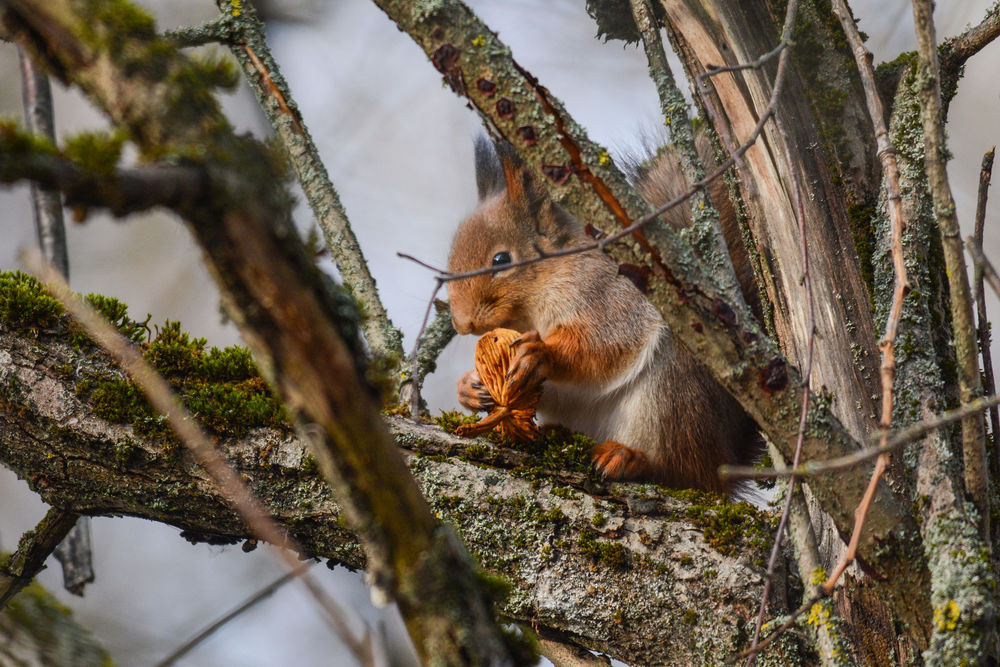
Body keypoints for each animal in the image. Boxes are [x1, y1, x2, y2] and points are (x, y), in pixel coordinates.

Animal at [446, 134, 762, 494]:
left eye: (501, 260)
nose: (461, 323)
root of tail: (727, 460)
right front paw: (469, 385)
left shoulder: (609, 293)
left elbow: (606, 341)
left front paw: (541, 354)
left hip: (674, 396)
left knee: (684, 472)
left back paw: (629, 457)